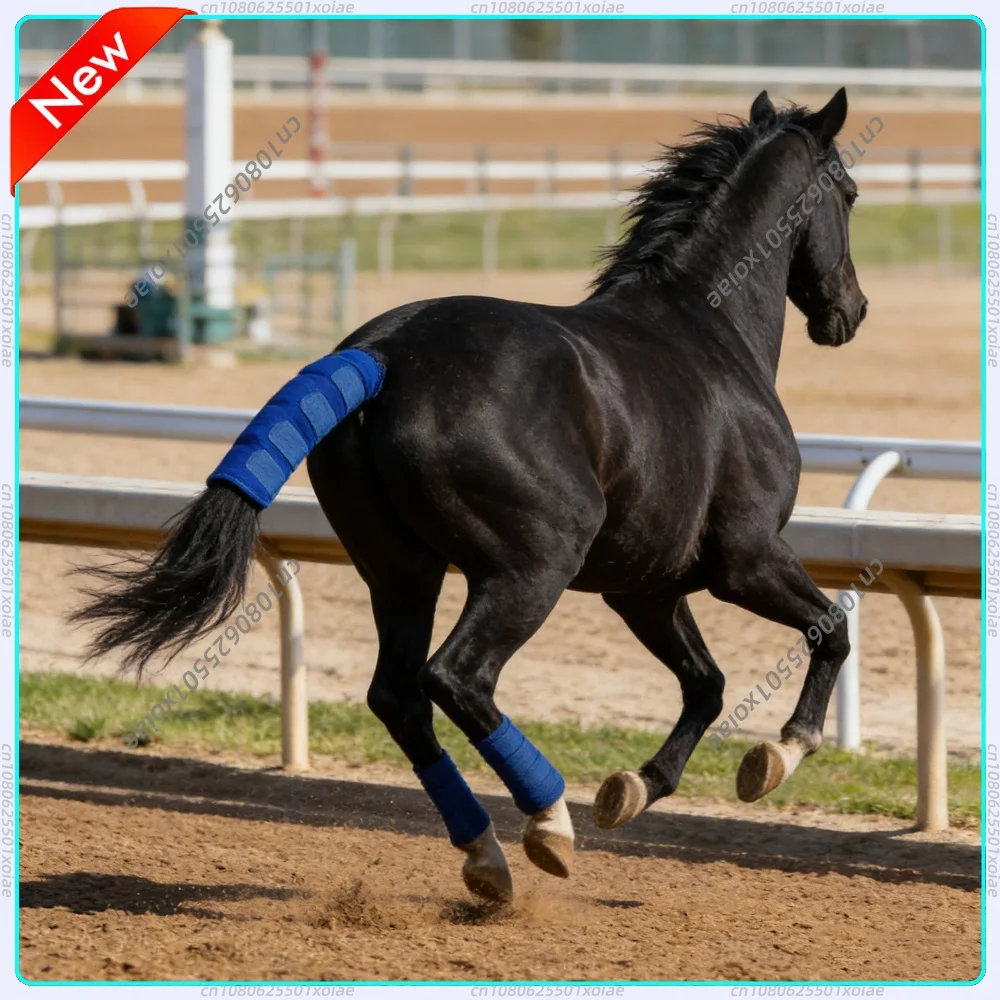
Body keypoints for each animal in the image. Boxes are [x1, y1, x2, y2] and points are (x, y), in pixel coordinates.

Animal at [72, 88, 868, 903]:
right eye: (849, 192)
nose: (852, 311)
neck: (706, 326)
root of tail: (382, 354)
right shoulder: (746, 559)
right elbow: (829, 630)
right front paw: (778, 755)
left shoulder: (643, 587)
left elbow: (705, 683)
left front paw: (635, 787)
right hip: (528, 571)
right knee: (457, 677)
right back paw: (547, 824)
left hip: (401, 574)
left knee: (399, 696)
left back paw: (486, 855)